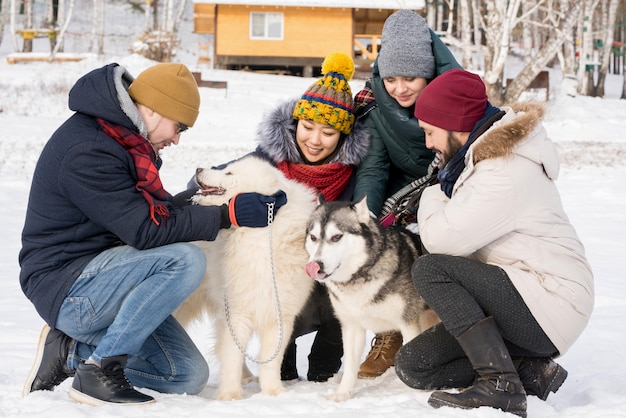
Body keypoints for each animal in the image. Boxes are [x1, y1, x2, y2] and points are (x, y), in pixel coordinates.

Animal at [173, 156, 316, 402]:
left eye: (229, 173)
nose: (198, 169)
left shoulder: (280, 317)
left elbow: (271, 361)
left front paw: (273, 392)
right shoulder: (237, 312)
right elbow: (232, 356)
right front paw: (230, 396)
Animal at [304, 196, 438, 402]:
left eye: (336, 237)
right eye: (313, 237)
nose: (315, 266)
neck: (360, 276)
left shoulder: (408, 323)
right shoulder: (351, 327)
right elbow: (350, 366)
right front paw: (342, 394)